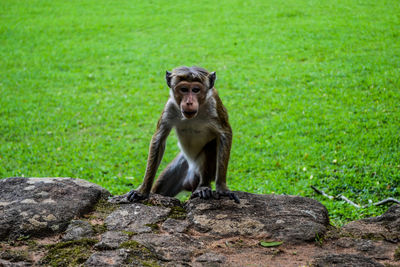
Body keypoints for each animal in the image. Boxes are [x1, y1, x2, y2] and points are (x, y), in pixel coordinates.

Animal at [128, 66, 239, 204]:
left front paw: (222, 188)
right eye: (184, 89)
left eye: (196, 90)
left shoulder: (215, 106)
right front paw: (142, 191)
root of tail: (191, 181)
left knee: (211, 146)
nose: (189, 102)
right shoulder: (170, 107)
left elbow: (225, 135)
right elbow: (159, 140)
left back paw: (203, 186)